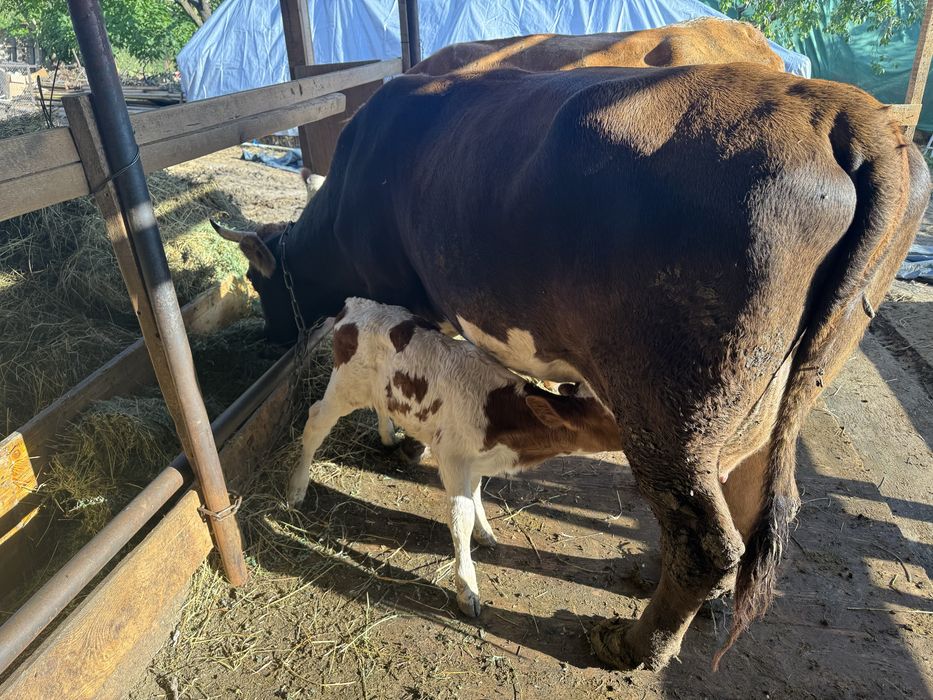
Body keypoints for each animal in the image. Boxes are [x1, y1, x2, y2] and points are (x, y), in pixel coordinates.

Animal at [287, 297, 622, 616]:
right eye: (613, 418)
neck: (498, 412)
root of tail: (354, 305)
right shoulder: (452, 457)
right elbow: (461, 516)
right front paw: (467, 589)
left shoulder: (474, 460)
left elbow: (476, 496)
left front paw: (484, 532)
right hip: (345, 388)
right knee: (315, 422)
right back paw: (296, 490)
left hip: (379, 389)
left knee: (381, 405)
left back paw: (387, 436)